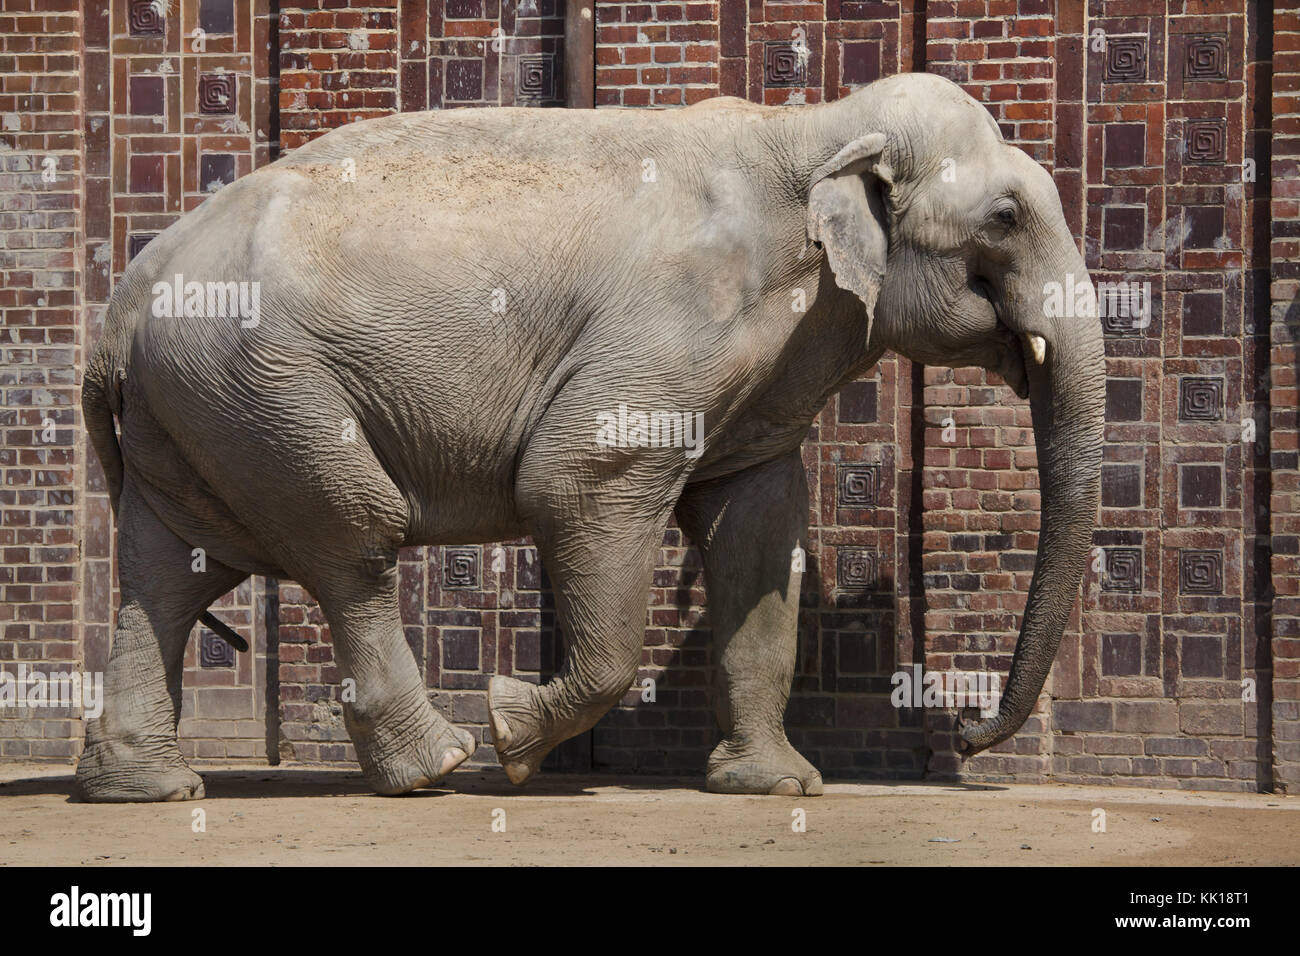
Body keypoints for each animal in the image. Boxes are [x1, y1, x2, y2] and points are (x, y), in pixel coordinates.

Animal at [76, 69, 1102, 801]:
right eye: (1005, 216)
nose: (964, 728)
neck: (813, 127)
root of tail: (121, 307)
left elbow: (760, 531)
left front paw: (774, 786)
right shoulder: (677, 326)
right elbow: (575, 475)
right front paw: (511, 732)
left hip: (199, 411)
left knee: (170, 571)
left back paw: (145, 789)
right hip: (265, 391)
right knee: (353, 542)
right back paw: (438, 766)